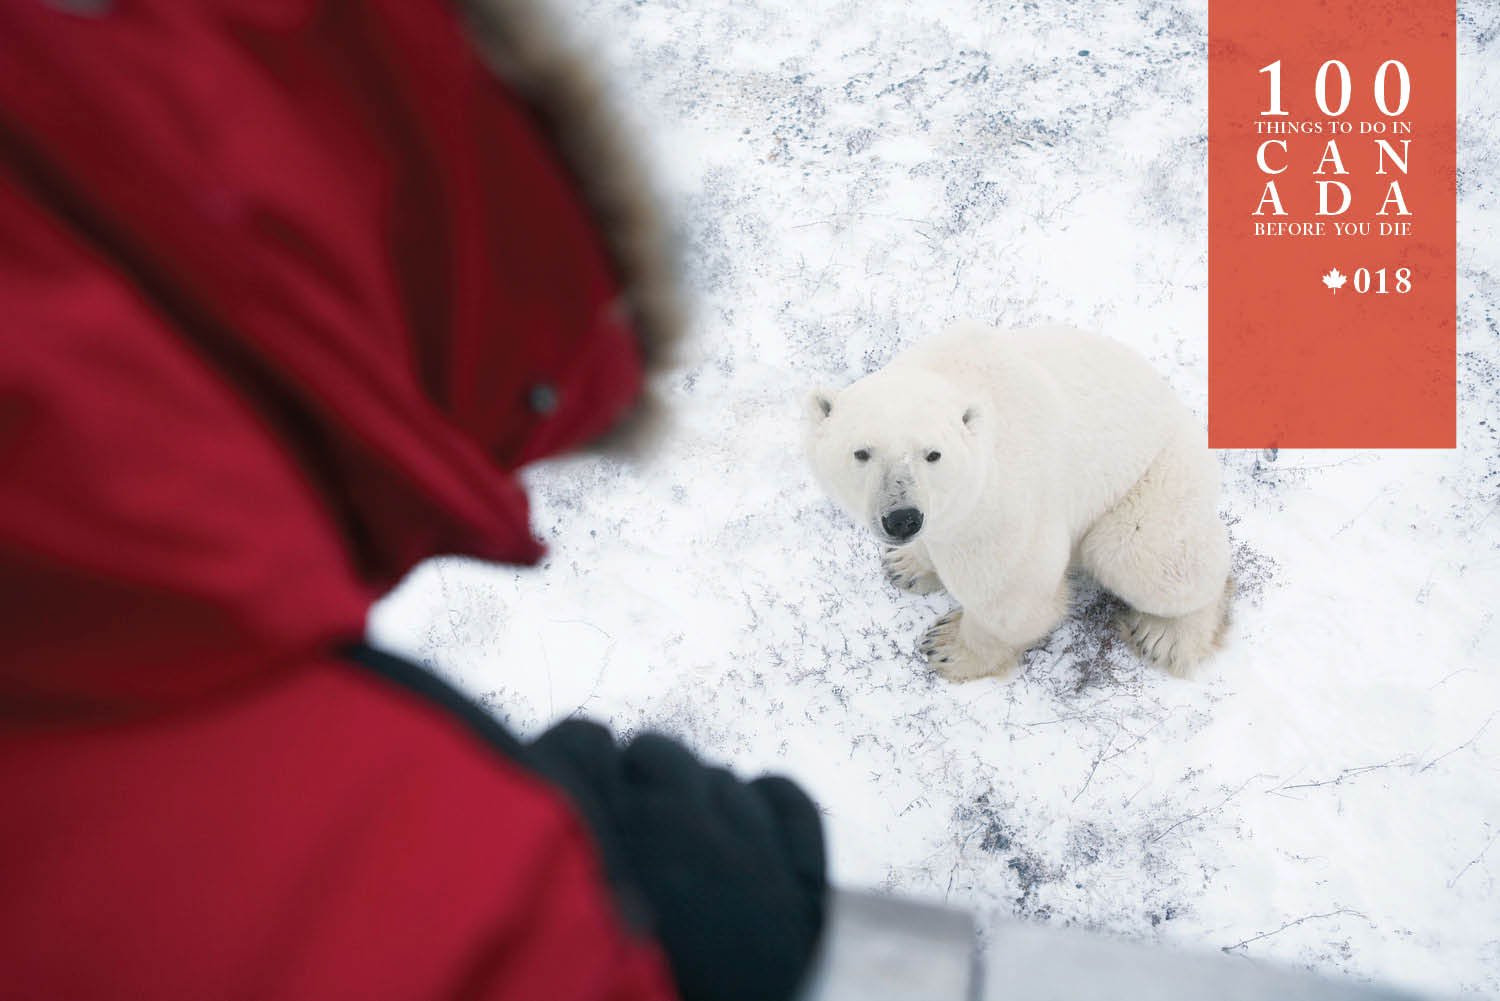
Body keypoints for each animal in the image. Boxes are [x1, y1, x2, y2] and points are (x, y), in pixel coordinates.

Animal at [810, 325, 1230, 684]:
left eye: (933, 454)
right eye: (861, 452)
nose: (902, 519)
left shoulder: (1006, 501)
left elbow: (1009, 592)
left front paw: (948, 646)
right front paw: (906, 565)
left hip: (1157, 477)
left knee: (1144, 555)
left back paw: (1165, 636)